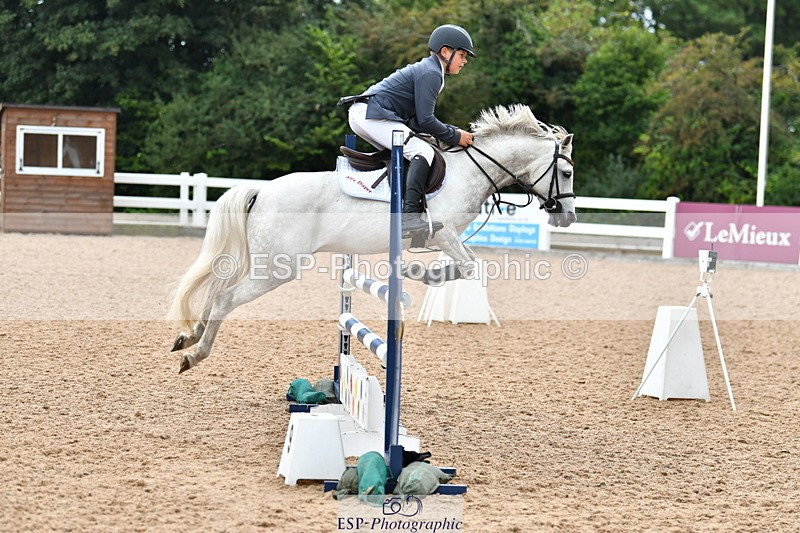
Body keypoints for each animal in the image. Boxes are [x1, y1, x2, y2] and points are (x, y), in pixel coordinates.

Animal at [168, 104, 577, 373]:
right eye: (568, 173)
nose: (568, 217)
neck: (471, 172)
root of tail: (262, 191)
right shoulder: (444, 234)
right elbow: (468, 265)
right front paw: (418, 273)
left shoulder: (446, 239)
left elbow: (465, 266)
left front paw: (419, 273)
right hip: (277, 269)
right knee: (225, 298)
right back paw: (195, 353)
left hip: (265, 262)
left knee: (216, 289)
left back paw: (189, 336)